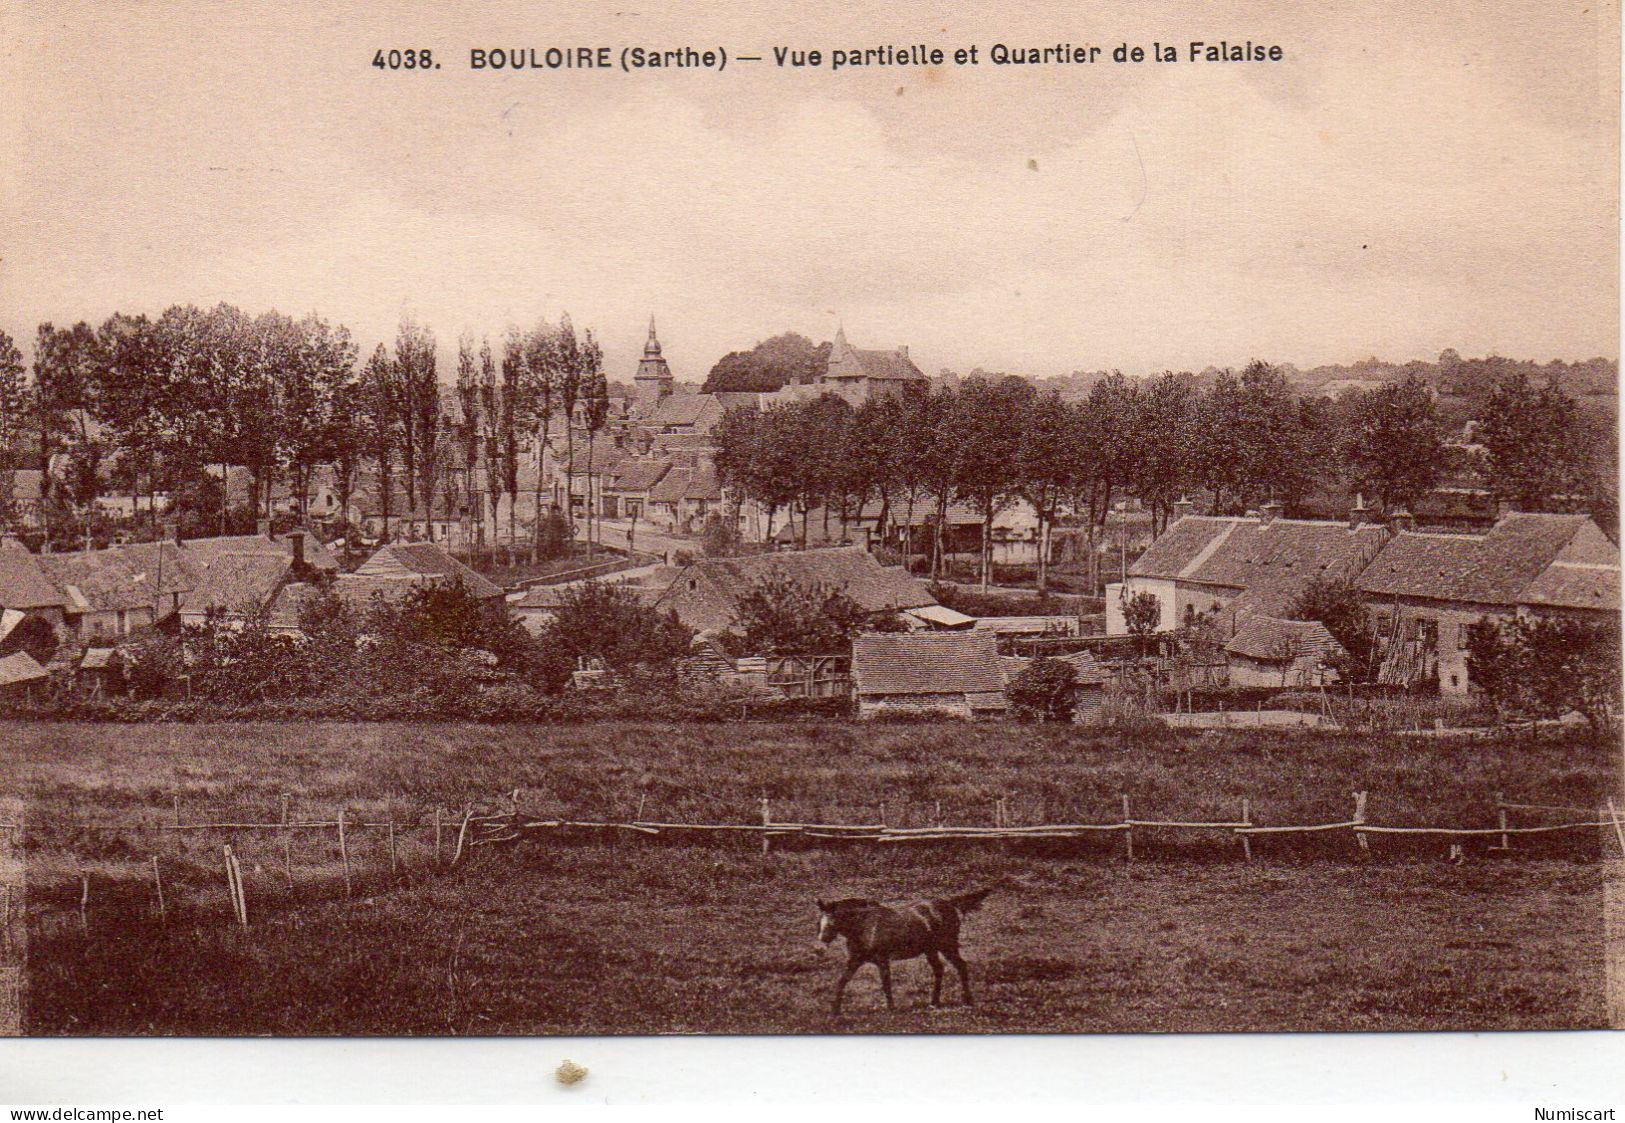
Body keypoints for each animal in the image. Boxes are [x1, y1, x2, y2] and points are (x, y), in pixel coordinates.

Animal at [812, 890, 988, 1014]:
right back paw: (934, 1003)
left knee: (961, 966)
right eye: (818, 923)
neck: (865, 926)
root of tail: (949, 903)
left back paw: (967, 1000)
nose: (818, 949)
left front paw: (891, 1009)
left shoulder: (882, 960)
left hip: (947, 946)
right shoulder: (855, 961)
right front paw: (835, 1011)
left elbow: (886, 983)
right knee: (939, 969)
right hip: (930, 949)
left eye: (832, 923)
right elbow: (842, 981)